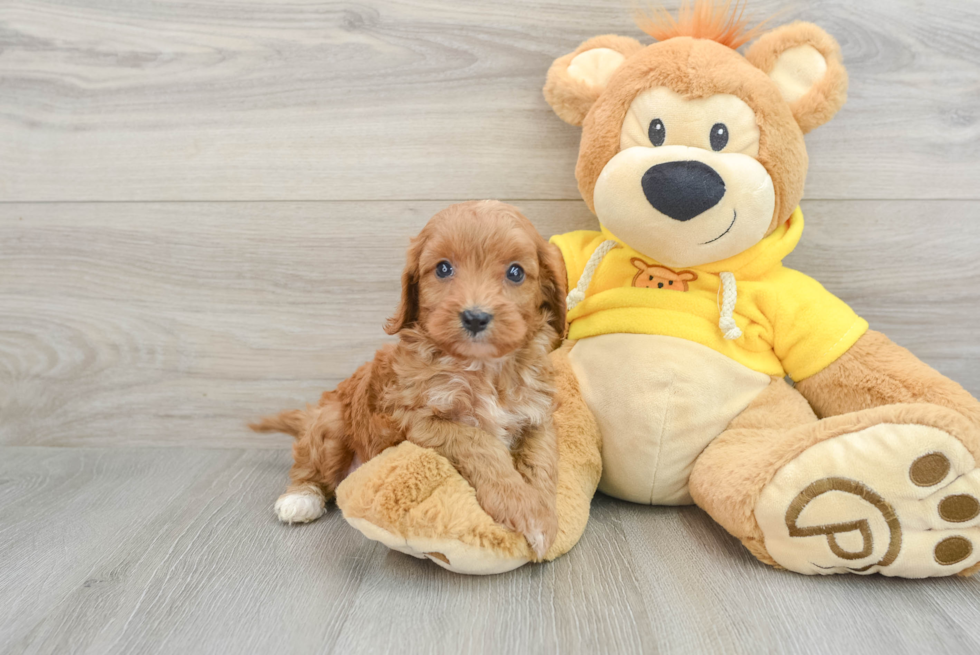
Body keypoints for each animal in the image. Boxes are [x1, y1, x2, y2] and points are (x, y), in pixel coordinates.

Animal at [251, 201, 568, 560]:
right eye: (443, 269)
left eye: (515, 272)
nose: (475, 317)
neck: (483, 367)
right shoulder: (419, 419)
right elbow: (479, 443)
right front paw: (522, 508)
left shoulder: (536, 414)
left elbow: (541, 462)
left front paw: (543, 514)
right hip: (329, 425)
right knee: (309, 467)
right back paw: (299, 498)